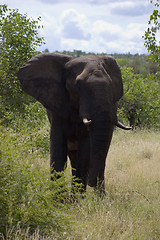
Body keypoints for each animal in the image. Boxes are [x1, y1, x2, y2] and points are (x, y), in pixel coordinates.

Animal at [17, 52, 131, 193]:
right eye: (77, 85)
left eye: (110, 85)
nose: (91, 182)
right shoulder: (57, 107)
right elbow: (58, 151)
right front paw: (57, 198)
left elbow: (85, 151)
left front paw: (78, 197)